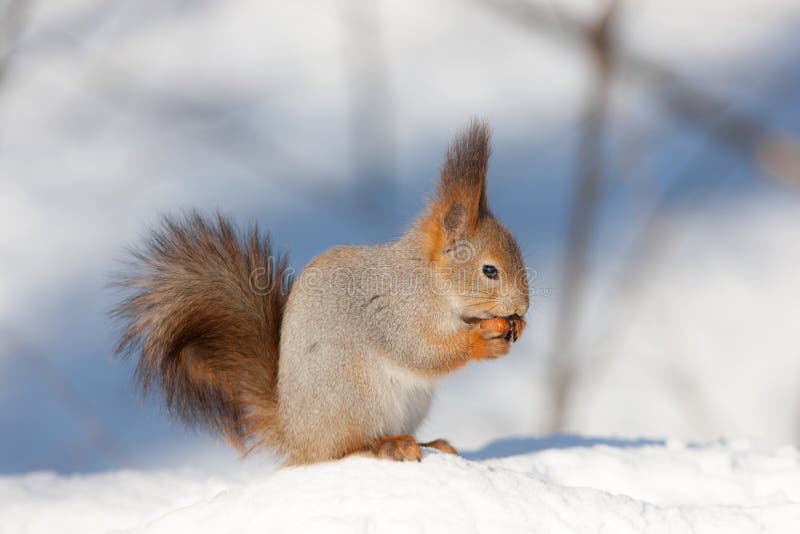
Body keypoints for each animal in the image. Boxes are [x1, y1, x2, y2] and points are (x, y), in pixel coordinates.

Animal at [113, 119, 529, 465]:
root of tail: (296, 435)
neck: (429, 281)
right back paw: (388, 445)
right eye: (489, 271)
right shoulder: (393, 313)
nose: (524, 306)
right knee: (342, 450)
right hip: (355, 393)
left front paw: (516, 328)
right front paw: (481, 341)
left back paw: (430, 443)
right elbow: (421, 352)